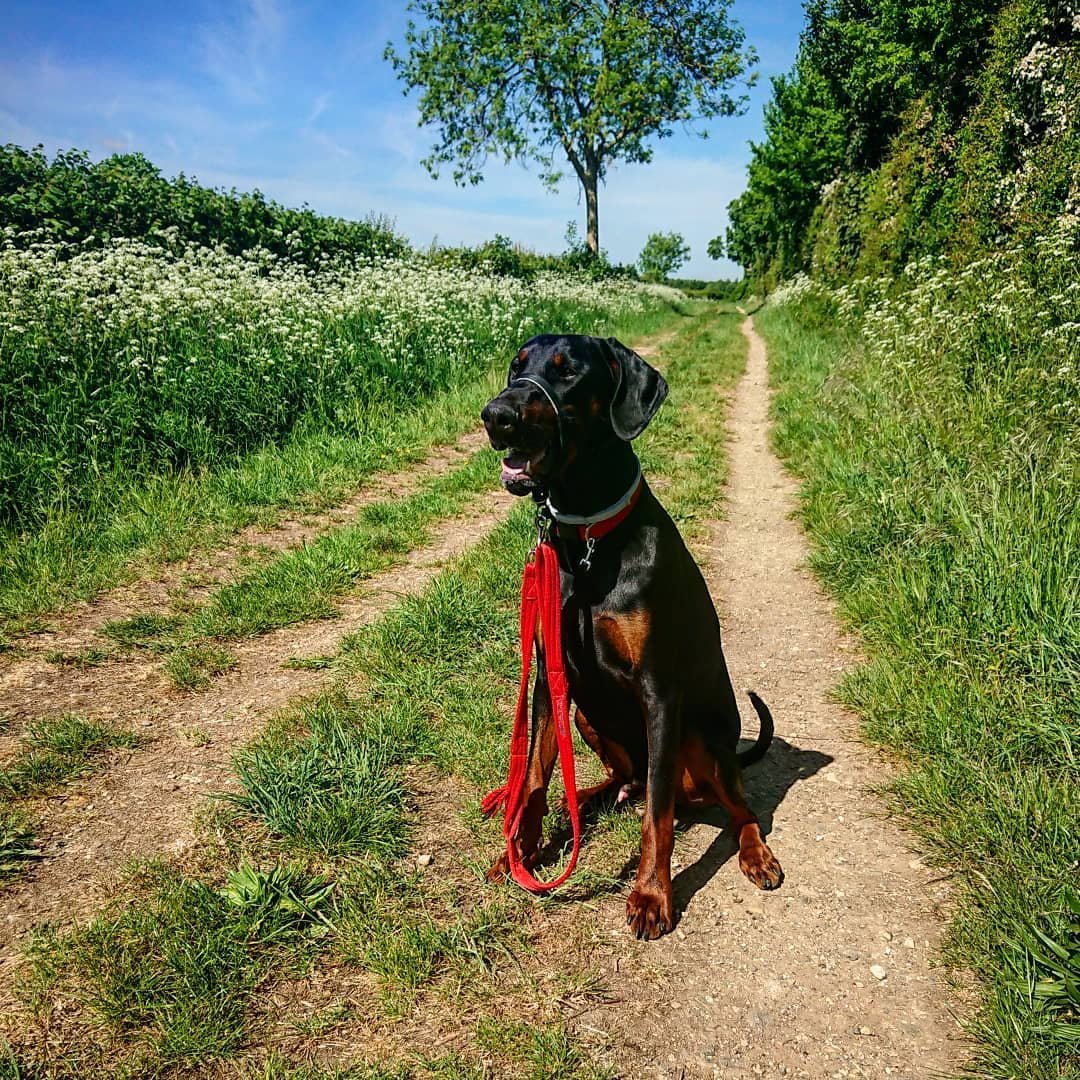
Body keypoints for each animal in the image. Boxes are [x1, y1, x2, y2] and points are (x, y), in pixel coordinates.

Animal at [483, 334, 786, 937]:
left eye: (568, 372)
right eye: (515, 365)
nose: (495, 416)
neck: (587, 540)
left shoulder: (659, 691)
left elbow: (658, 819)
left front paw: (650, 895)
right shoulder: (551, 677)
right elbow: (534, 776)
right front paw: (520, 852)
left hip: (703, 737)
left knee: (734, 808)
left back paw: (755, 854)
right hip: (586, 715)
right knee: (625, 781)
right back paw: (588, 798)